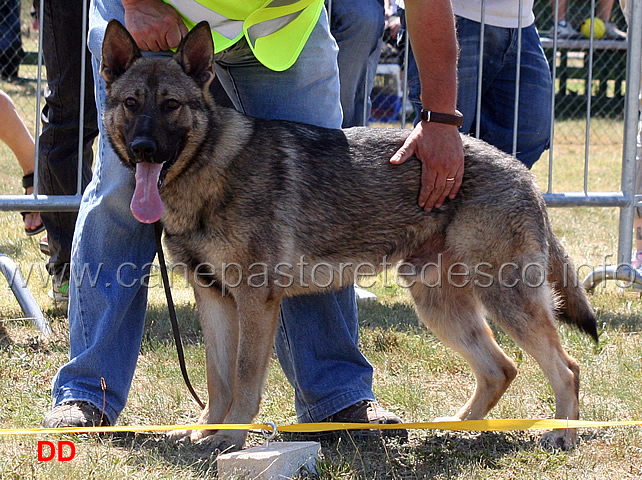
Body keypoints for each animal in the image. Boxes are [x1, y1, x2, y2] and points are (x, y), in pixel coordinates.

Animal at [100, 19, 596, 454]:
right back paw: (457, 428)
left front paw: (231, 438)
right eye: (131, 103)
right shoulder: (214, 298)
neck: (210, 165)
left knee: (567, 368)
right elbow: (216, 379)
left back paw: (563, 434)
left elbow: (242, 378)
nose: (144, 149)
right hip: (440, 306)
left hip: (503, 298)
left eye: (171, 105)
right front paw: (208, 430)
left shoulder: (254, 301)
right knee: (501, 369)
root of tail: (523, 173)